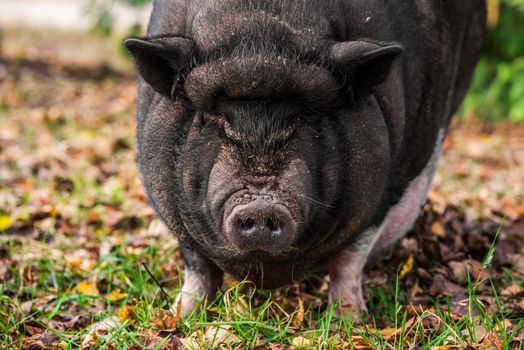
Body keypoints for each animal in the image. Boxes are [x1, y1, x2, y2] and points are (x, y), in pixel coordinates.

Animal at [125, 0, 486, 318]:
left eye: (304, 117)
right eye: (217, 118)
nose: (261, 206)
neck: (259, 31)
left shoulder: (385, 190)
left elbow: (349, 259)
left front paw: (349, 321)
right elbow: (197, 265)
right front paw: (181, 316)